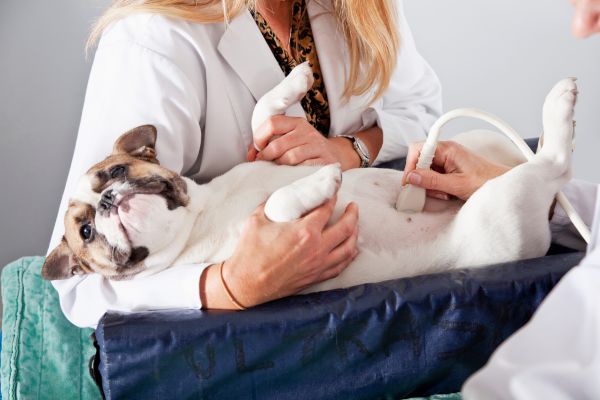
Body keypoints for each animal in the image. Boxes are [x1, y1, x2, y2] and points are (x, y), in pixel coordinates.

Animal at [42, 63, 576, 294]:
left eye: (115, 171)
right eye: (86, 231)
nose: (109, 199)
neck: (200, 217)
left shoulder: (276, 152)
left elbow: (262, 114)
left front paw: (294, 82)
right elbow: (280, 204)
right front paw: (323, 184)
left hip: (480, 150)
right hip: (500, 211)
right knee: (550, 163)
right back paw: (561, 110)